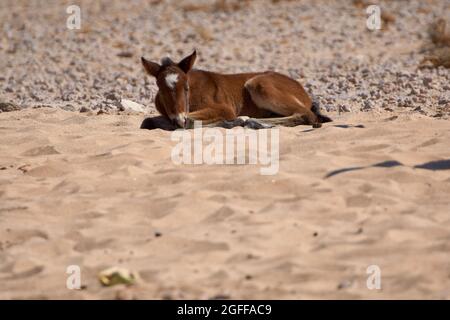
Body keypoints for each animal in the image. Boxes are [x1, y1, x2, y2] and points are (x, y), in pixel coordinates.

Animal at [142, 50, 332, 129]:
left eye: (187, 87)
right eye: (161, 90)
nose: (178, 119)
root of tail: (302, 90)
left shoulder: (224, 108)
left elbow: (190, 122)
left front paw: (232, 121)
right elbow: (147, 121)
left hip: (258, 83)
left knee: (306, 115)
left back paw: (251, 121)